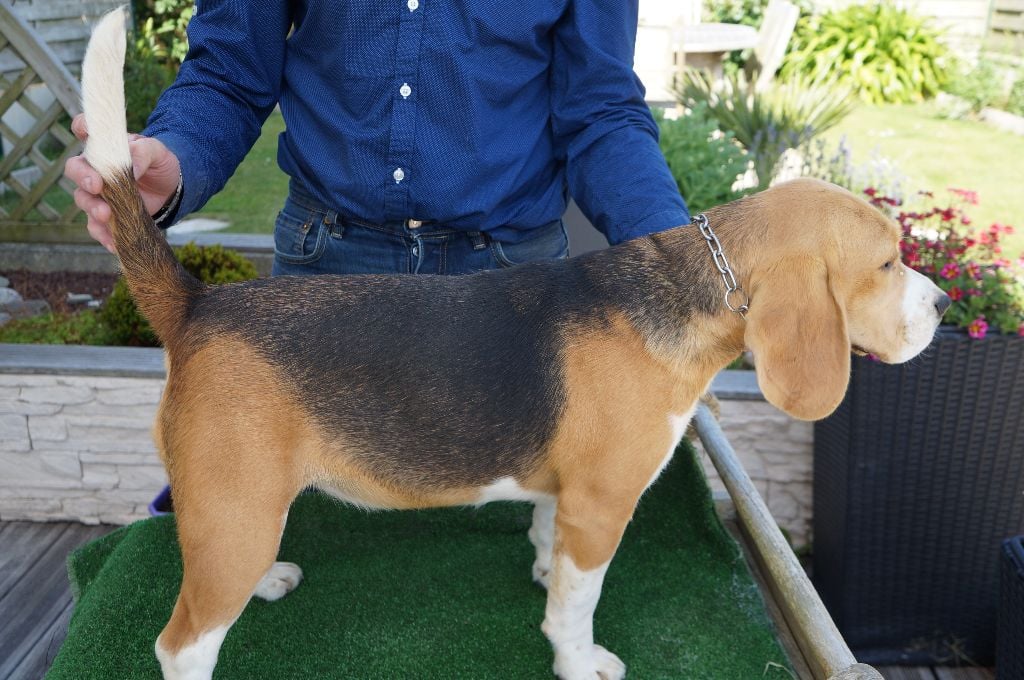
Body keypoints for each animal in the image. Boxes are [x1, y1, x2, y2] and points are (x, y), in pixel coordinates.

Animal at [81, 10, 950, 680]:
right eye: (885, 264)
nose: (944, 306)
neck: (684, 287)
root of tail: (198, 303)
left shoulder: (565, 497)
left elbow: (548, 552)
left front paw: (541, 574)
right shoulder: (602, 506)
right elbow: (577, 607)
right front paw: (578, 661)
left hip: (237, 508)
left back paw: (265, 581)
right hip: (234, 508)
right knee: (181, 642)